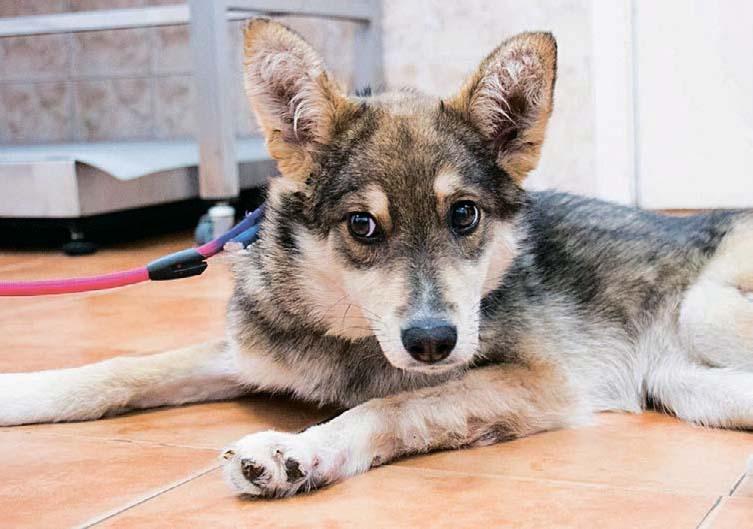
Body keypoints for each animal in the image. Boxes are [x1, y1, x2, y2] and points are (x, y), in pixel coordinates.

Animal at [2, 19, 752, 498]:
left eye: (464, 215)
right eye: (362, 224)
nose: (432, 341)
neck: (343, 329)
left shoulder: (536, 380)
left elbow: (389, 408)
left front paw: (299, 450)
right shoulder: (243, 352)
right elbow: (122, 370)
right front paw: (23, 391)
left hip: (702, 313)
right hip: (690, 385)